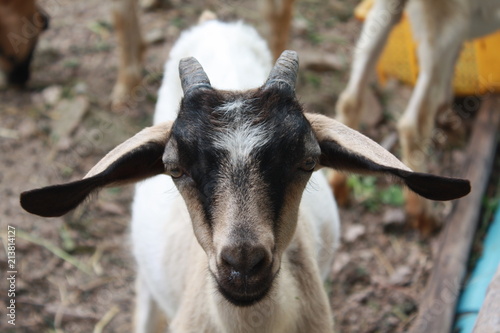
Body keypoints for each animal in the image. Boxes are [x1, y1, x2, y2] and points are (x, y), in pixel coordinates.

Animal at [332, 0, 500, 233]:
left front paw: (448, 122)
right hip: (445, 27)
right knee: (413, 124)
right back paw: (423, 214)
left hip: (390, 10)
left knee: (351, 97)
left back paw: (338, 185)